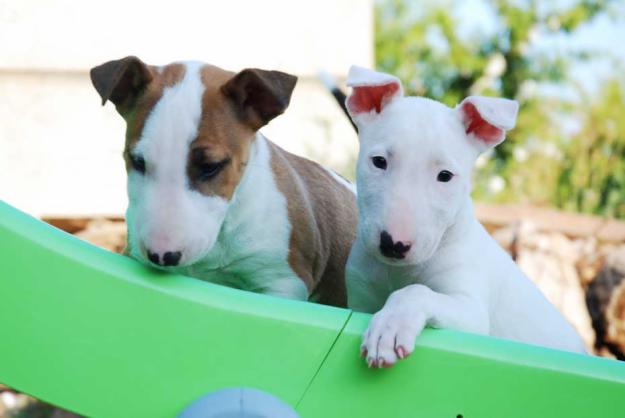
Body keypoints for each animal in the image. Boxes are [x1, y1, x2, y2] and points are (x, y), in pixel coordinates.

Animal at [346, 64, 584, 366]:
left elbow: (416, 292)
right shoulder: (359, 298)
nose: (394, 245)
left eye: (445, 176)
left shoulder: (471, 310)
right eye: (379, 162)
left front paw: (389, 329)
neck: (396, 271)